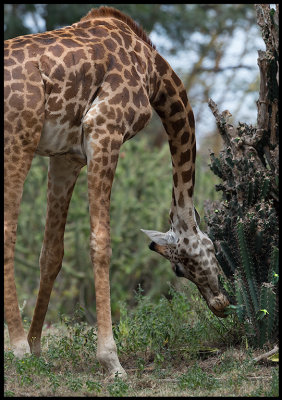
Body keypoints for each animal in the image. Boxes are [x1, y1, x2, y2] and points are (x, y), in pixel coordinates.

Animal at [3, 7, 229, 378]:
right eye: (179, 269)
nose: (221, 303)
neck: (154, 72)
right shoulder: (104, 129)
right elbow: (101, 243)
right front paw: (111, 360)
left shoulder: (67, 157)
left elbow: (52, 253)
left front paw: (38, 348)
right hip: (19, 139)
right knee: (8, 232)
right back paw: (18, 347)